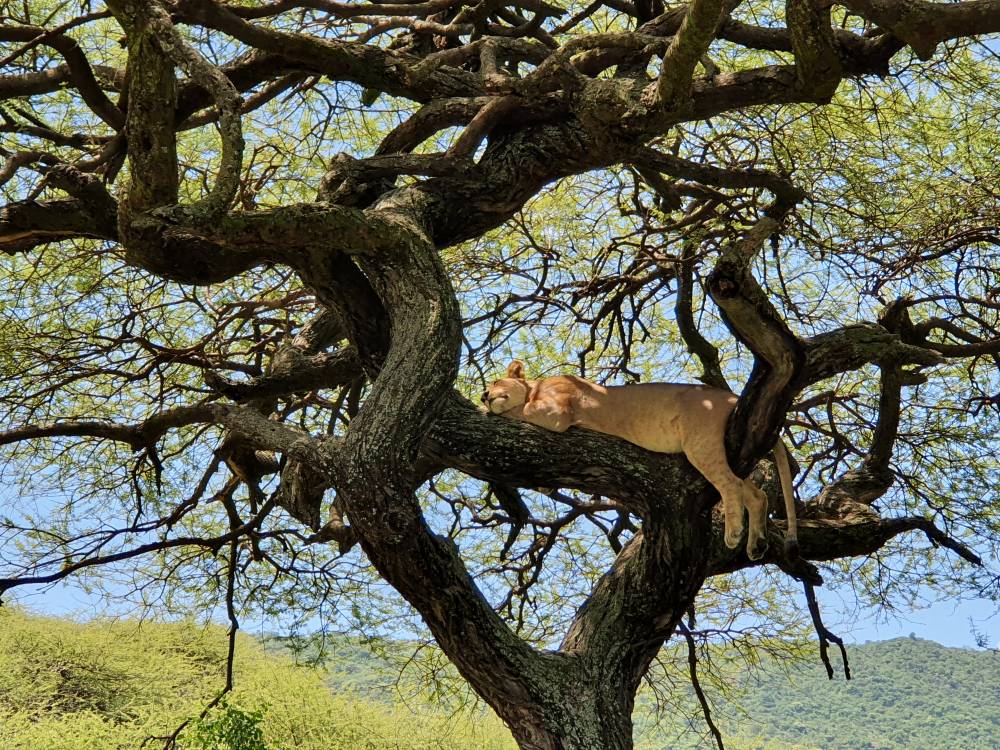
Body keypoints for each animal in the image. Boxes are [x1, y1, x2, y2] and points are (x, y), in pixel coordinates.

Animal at [482, 361, 798, 560]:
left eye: (495, 381)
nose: (484, 395)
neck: (534, 387)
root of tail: (730, 396)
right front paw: (544, 487)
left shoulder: (556, 412)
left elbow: (519, 410)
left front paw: (488, 409)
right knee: (755, 494)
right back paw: (756, 545)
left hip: (701, 444)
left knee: (730, 486)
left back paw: (734, 534)